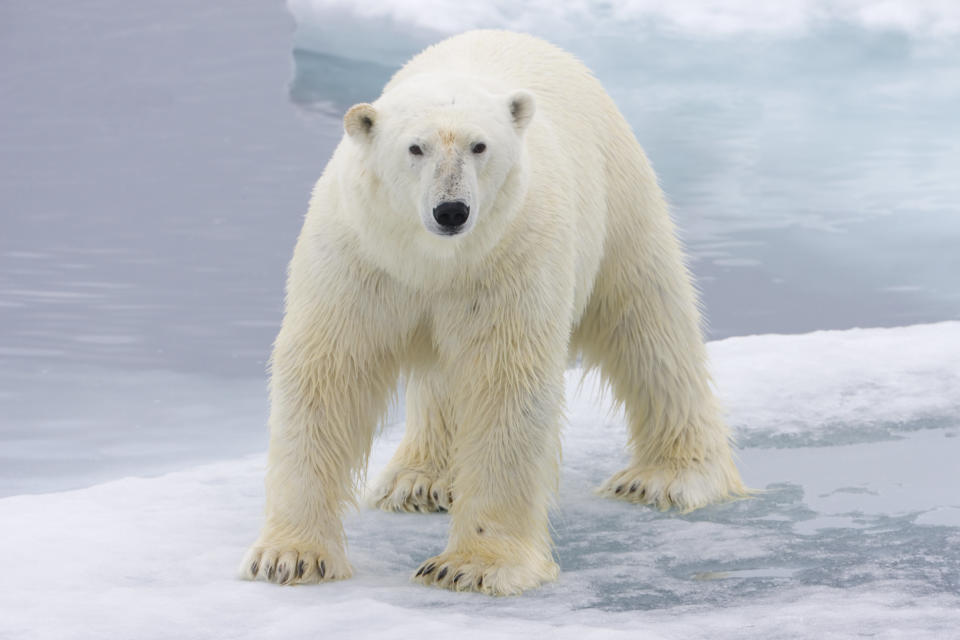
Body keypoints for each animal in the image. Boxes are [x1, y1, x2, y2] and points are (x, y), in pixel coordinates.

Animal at [238, 30, 744, 596]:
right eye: (415, 147)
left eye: (480, 146)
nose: (451, 210)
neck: (432, 259)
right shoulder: (359, 260)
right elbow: (327, 374)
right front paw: (289, 557)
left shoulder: (510, 257)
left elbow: (505, 382)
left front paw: (471, 565)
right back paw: (420, 480)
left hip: (618, 193)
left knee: (647, 323)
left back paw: (667, 477)